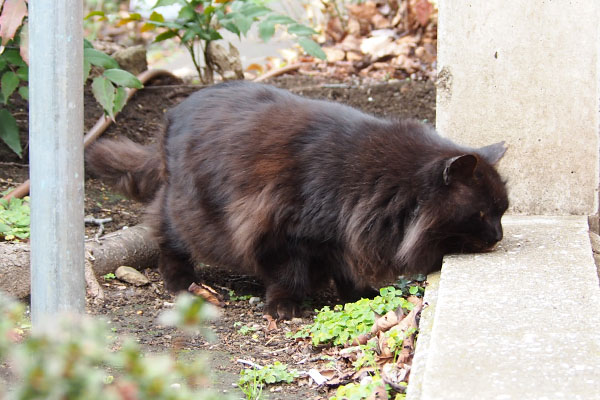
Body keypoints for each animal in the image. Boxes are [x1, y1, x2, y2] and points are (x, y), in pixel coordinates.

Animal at [86, 81, 508, 318]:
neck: (383, 186)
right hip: (186, 211)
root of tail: (173, 113)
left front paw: (360, 298)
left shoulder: (344, 237)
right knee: (168, 240)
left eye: (502, 211)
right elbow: (287, 275)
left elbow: (347, 272)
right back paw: (184, 283)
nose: (499, 235)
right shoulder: (279, 231)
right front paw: (284, 307)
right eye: (481, 213)